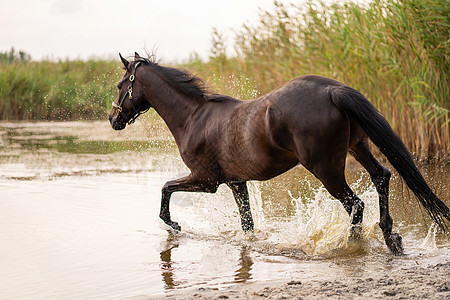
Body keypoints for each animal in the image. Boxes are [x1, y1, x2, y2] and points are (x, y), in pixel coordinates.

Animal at [110, 52, 450, 254]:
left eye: (119, 85)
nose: (113, 119)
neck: (194, 117)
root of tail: (332, 90)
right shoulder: (236, 183)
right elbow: (247, 224)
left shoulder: (206, 180)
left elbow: (165, 189)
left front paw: (175, 225)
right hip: (358, 147)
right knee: (382, 176)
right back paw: (391, 238)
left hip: (326, 168)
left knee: (355, 203)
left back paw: (351, 244)